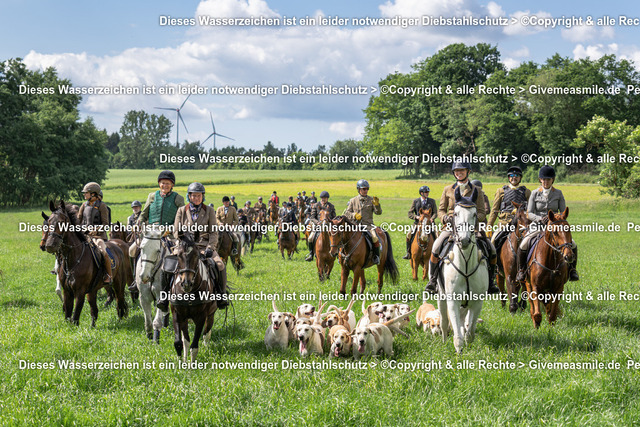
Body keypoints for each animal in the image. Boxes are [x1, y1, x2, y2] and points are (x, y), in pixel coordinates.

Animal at [171, 232, 219, 362]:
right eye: (178, 255)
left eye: (196, 255)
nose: (186, 283)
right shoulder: (177, 314)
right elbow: (180, 342)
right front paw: (181, 362)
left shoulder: (201, 317)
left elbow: (194, 346)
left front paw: (192, 364)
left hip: (211, 313)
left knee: (207, 332)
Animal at [438, 188, 488, 354]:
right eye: (455, 214)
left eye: (474, 214)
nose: (464, 240)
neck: (465, 263)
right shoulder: (453, 300)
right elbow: (456, 332)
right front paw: (459, 352)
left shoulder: (477, 301)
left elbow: (470, 331)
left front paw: (467, 344)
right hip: (441, 296)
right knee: (444, 321)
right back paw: (444, 341)